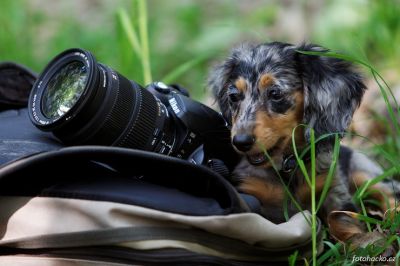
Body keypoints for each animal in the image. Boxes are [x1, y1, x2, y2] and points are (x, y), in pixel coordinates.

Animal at [209, 41, 400, 247]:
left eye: (275, 93)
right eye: (233, 97)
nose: (240, 142)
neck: (286, 166)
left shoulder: (332, 188)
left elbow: (340, 219)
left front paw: (356, 242)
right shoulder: (249, 192)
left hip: (364, 170)